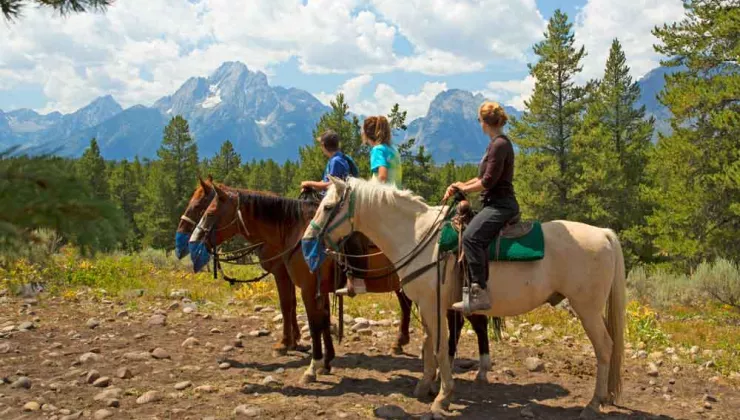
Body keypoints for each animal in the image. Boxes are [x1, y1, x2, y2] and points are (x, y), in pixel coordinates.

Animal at [188, 182, 497, 383]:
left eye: (208, 211)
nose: (193, 240)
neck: (295, 233)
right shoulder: (321, 289)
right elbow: (324, 321)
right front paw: (327, 360)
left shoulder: (306, 287)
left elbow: (313, 323)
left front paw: (313, 366)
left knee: (476, 322)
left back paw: (475, 368)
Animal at [302, 176, 626, 418]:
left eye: (327, 206)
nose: (307, 239)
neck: (418, 236)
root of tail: (604, 233)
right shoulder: (428, 306)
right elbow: (429, 344)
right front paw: (425, 386)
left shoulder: (434, 305)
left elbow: (440, 348)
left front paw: (442, 397)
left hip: (587, 308)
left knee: (605, 348)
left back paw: (593, 404)